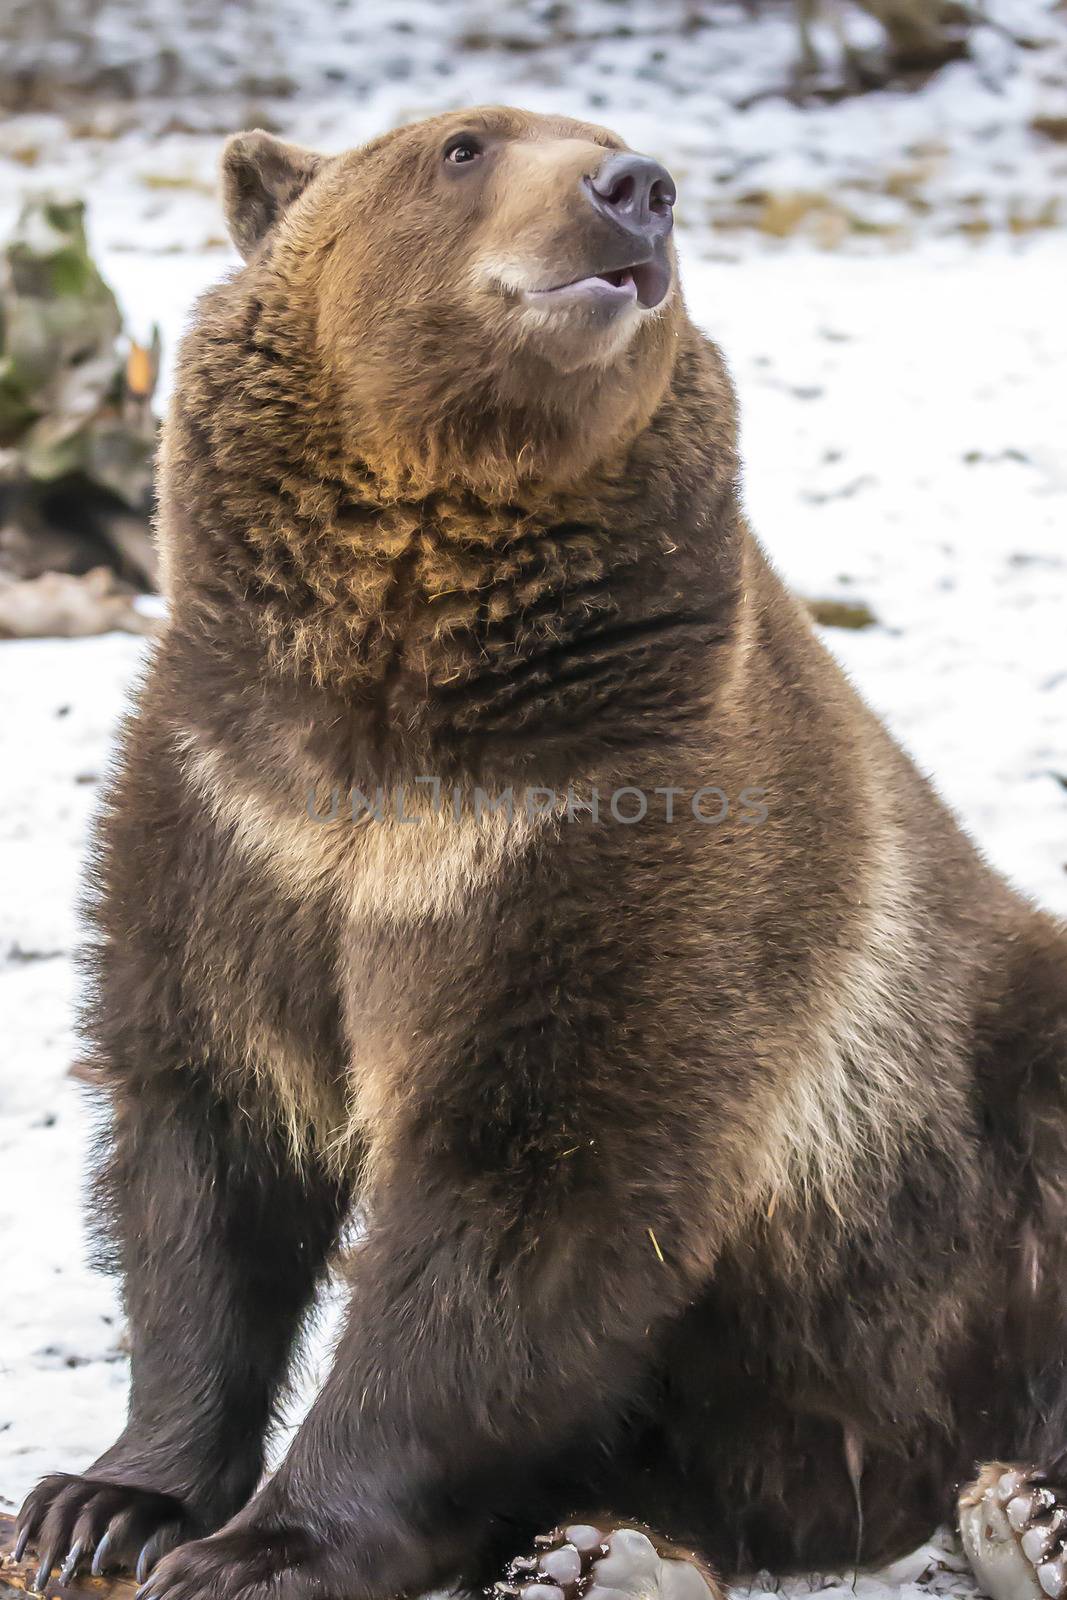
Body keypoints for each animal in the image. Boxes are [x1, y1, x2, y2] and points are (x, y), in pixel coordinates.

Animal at [12, 103, 1067, 1600]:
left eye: (621, 146)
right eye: (461, 145)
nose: (636, 189)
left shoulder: (600, 826)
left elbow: (529, 1183)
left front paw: (262, 1545)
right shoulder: (234, 816)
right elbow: (202, 1145)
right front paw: (106, 1502)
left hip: (976, 1145)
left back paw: (1017, 1511)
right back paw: (599, 1548)